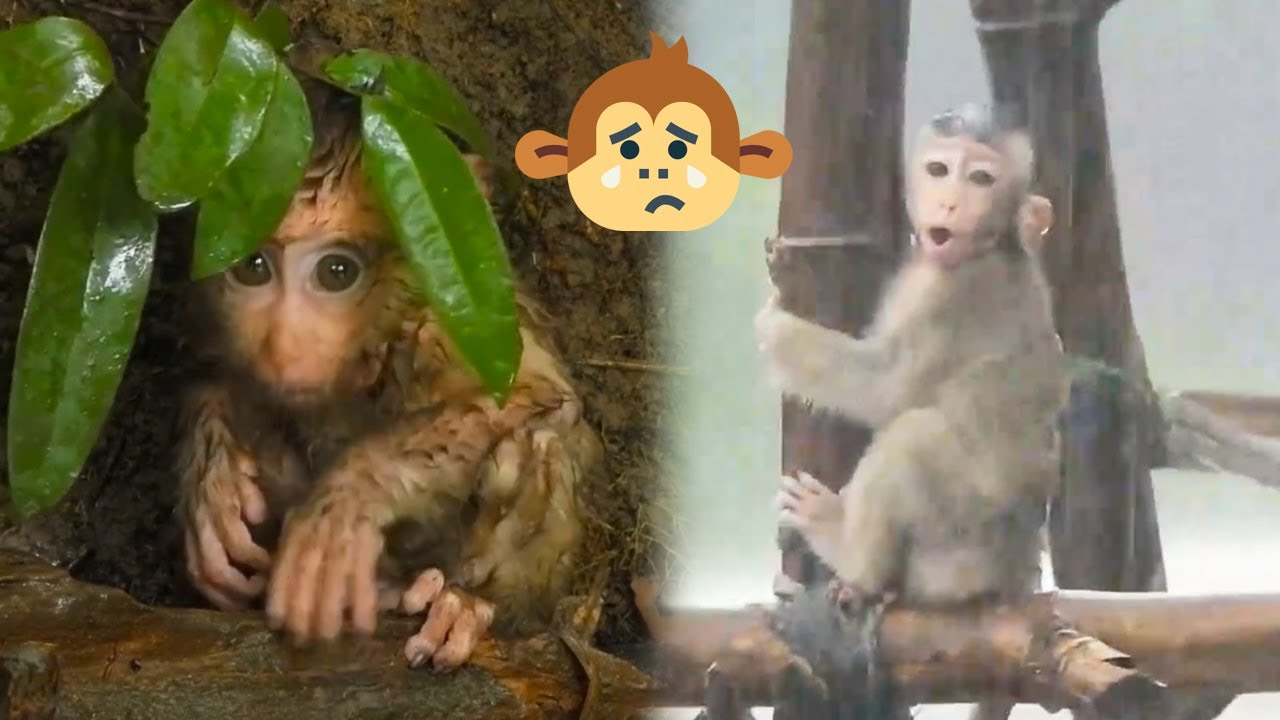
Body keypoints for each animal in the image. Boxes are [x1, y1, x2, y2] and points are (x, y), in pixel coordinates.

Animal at [174, 78, 605, 670]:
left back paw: (462, 604)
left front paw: (348, 498)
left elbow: (530, 395)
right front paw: (211, 472)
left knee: (540, 439)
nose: (286, 349)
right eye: (252, 267)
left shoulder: (445, 318)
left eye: (337, 272)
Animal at [755, 103, 1069, 720]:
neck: (989, 247)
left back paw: (849, 553)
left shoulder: (948, 297)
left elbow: (884, 388)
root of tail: (1016, 571)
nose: (948, 204)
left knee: (913, 435)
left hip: (957, 545)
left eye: (981, 178)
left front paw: (776, 329)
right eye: (940, 169)